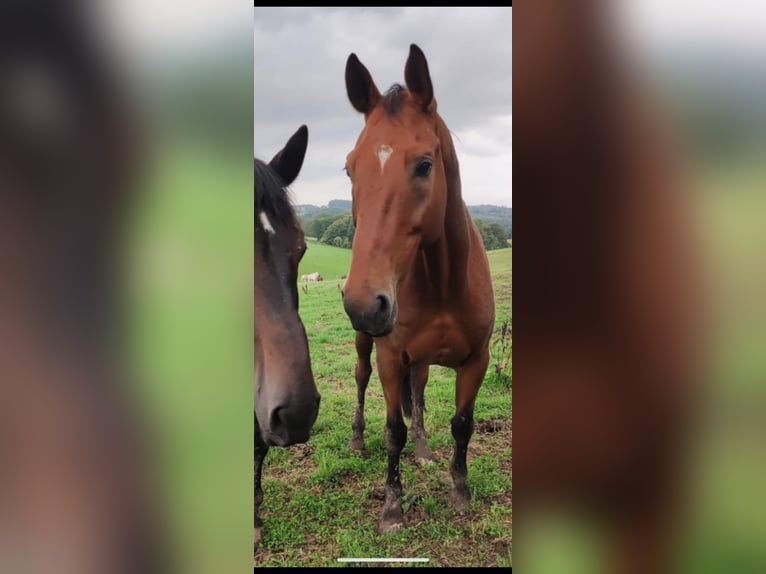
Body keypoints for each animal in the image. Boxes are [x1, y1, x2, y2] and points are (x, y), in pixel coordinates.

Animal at [342, 45, 498, 536]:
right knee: (361, 378)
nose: (365, 304)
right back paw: (357, 438)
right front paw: (392, 508)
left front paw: (460, 491)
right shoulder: (391, 357)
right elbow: (394, 430)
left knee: (422, 393)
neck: (443, 283)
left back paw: (426, 449)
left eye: (425, 165)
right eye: (348, 167)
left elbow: (462, 424)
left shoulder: (477, 360)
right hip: (365, 344)